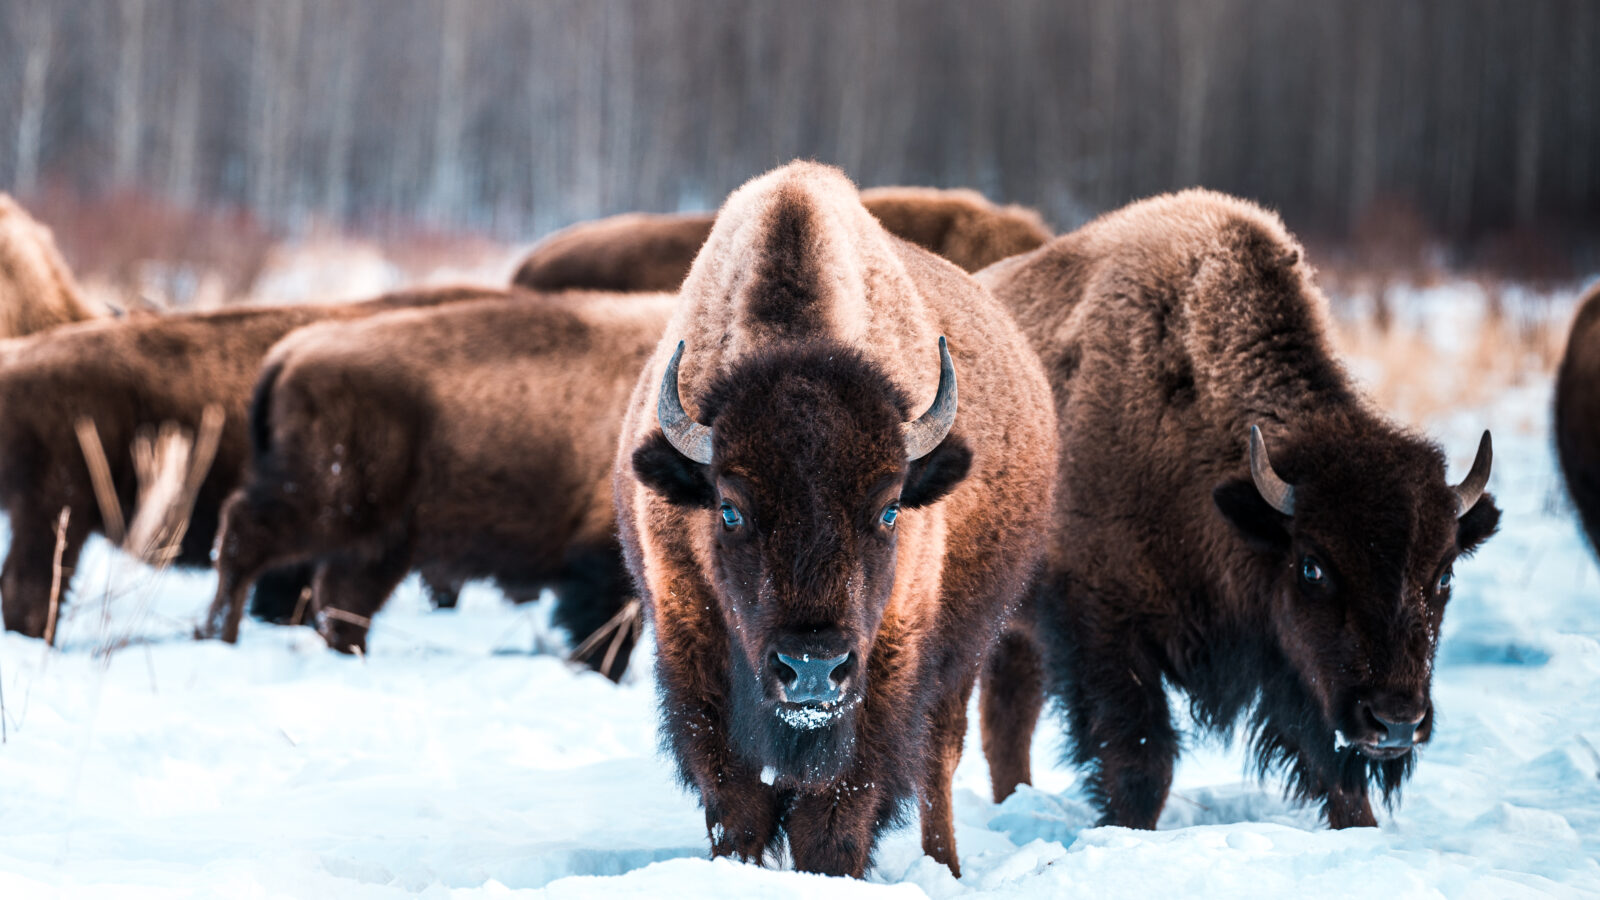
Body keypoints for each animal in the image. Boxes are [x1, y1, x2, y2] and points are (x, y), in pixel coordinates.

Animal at [615, 162, 1057, 876]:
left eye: (889, 509)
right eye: (730, 509)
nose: (813, 667)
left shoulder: (889, 661)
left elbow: (840, 808)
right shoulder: (693, 648)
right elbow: (738, 799)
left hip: (964, 652)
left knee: (939, 755)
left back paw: (945, 865)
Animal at [976, 189, 1500, 829]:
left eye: (1444, 574)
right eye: (1313, 567)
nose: (1396, 721)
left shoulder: (1289, 662)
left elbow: (1332, 767)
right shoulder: (1101, 626)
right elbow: (1142, 759)